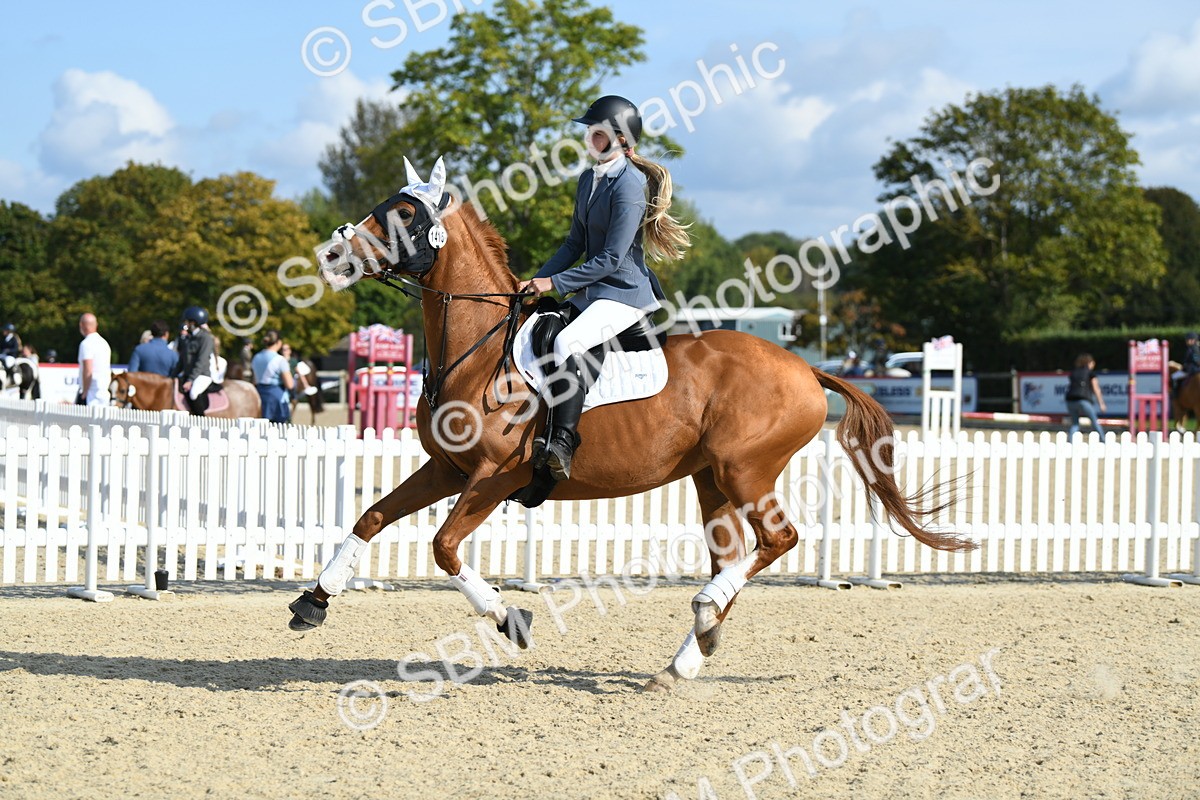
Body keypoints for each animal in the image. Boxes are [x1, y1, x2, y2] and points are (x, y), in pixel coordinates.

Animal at [287, 159, 972, 692]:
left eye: (404, 215)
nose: (330, 255)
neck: (480, 352)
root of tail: (806, 367)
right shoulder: (448, 468)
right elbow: (372, 517)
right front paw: (313, 602)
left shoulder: (494, 476)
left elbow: (444, 546)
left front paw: (510, 618)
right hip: (710, 481)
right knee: (735, 553)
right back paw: (687, 655)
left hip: (745, 470)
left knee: (778, 541)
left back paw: (703, 615)